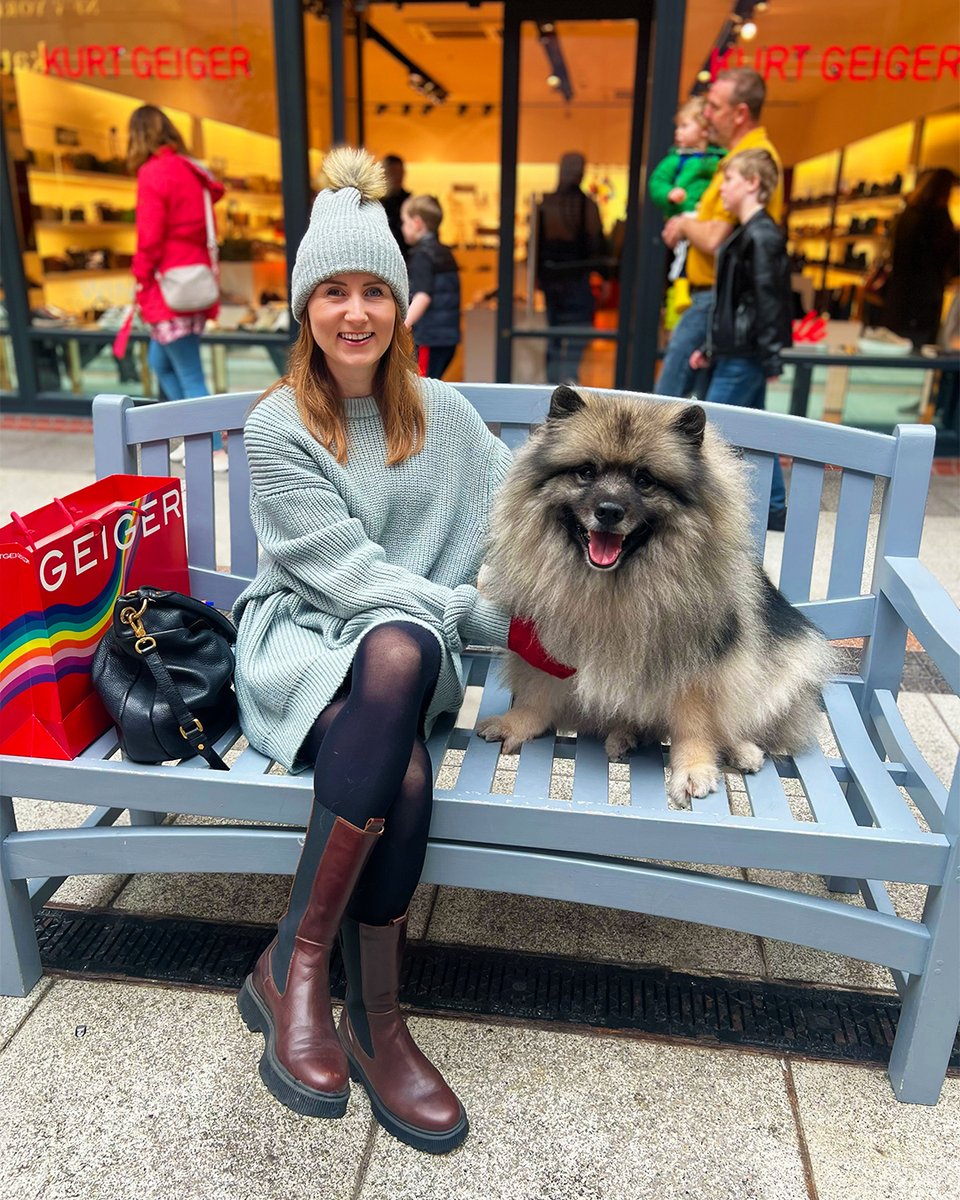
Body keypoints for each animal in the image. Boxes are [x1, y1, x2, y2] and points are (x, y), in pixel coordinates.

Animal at [477, 388, 830, 811]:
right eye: (587, 472)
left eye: (644, 480)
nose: (609, 511)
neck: (612, 583)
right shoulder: (547, 642)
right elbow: (536, 692)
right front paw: (518, 723)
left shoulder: (697, 663)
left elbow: (695, 722)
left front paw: (693, 767)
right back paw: (624, 734)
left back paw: (742, 750)